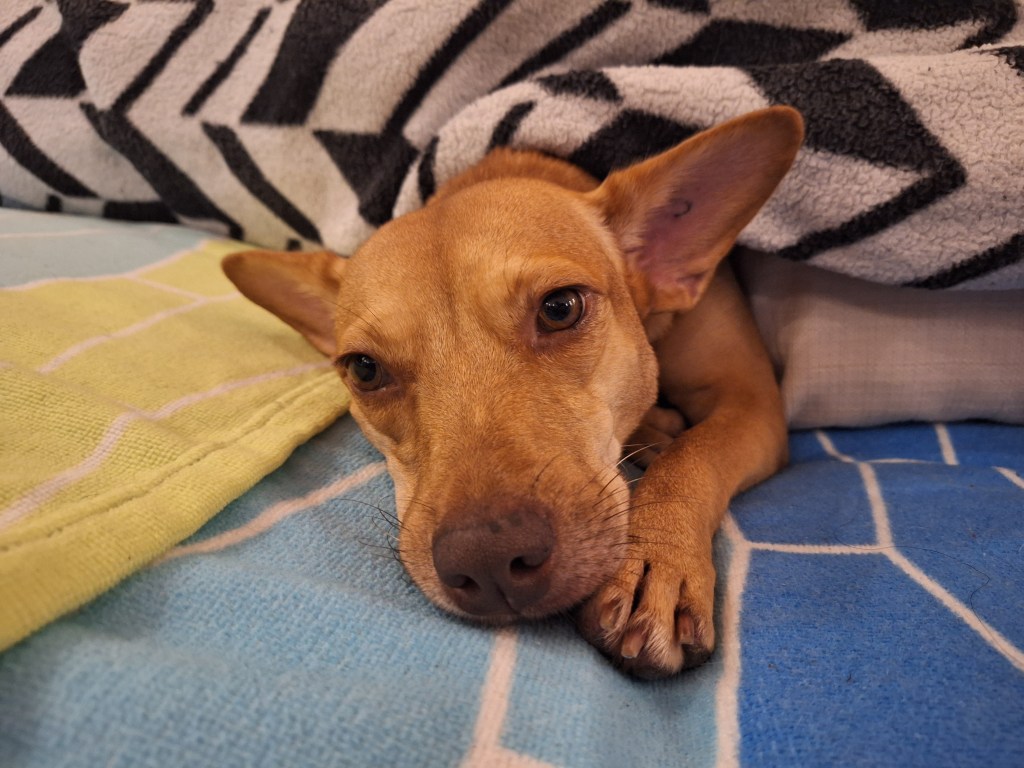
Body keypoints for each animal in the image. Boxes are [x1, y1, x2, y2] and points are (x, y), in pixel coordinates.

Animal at [222, 107, 804, 679]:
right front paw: (655, 433)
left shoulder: (751, 399)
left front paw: (656, 559)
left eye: (560, 308)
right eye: (364, 370)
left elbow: (692, 458)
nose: (488, 561)